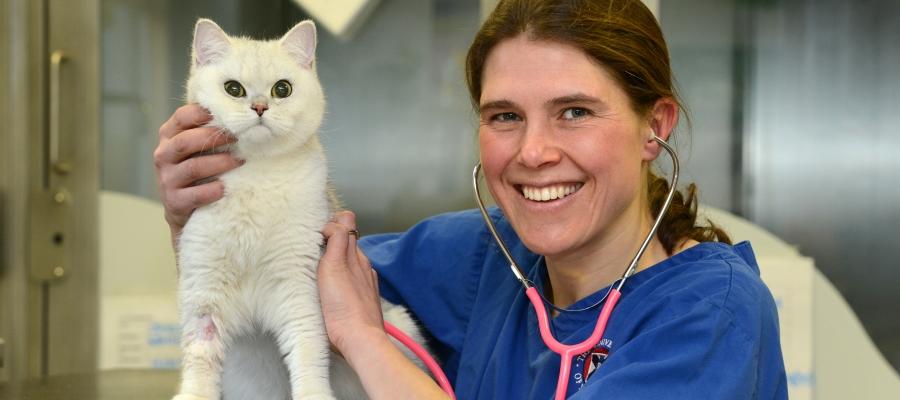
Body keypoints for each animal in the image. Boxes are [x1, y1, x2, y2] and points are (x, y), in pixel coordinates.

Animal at [177, 19, 428, 400]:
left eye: (282, 89)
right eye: (233, 89)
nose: (260, 107)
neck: (257, 174)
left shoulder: (299, 286)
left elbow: (308, 350)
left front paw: (313, 393)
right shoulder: (204, 288)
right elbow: (200, 356)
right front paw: (193, 394)